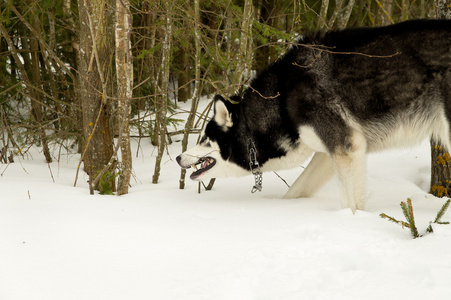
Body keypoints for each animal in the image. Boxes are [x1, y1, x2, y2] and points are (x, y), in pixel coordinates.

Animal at [177, 19, 451, 212]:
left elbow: (350, 203)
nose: (179, 157)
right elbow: (297, 189)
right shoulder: (328, 153)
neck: (282, 100)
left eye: (204, 139)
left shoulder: (345, 147)